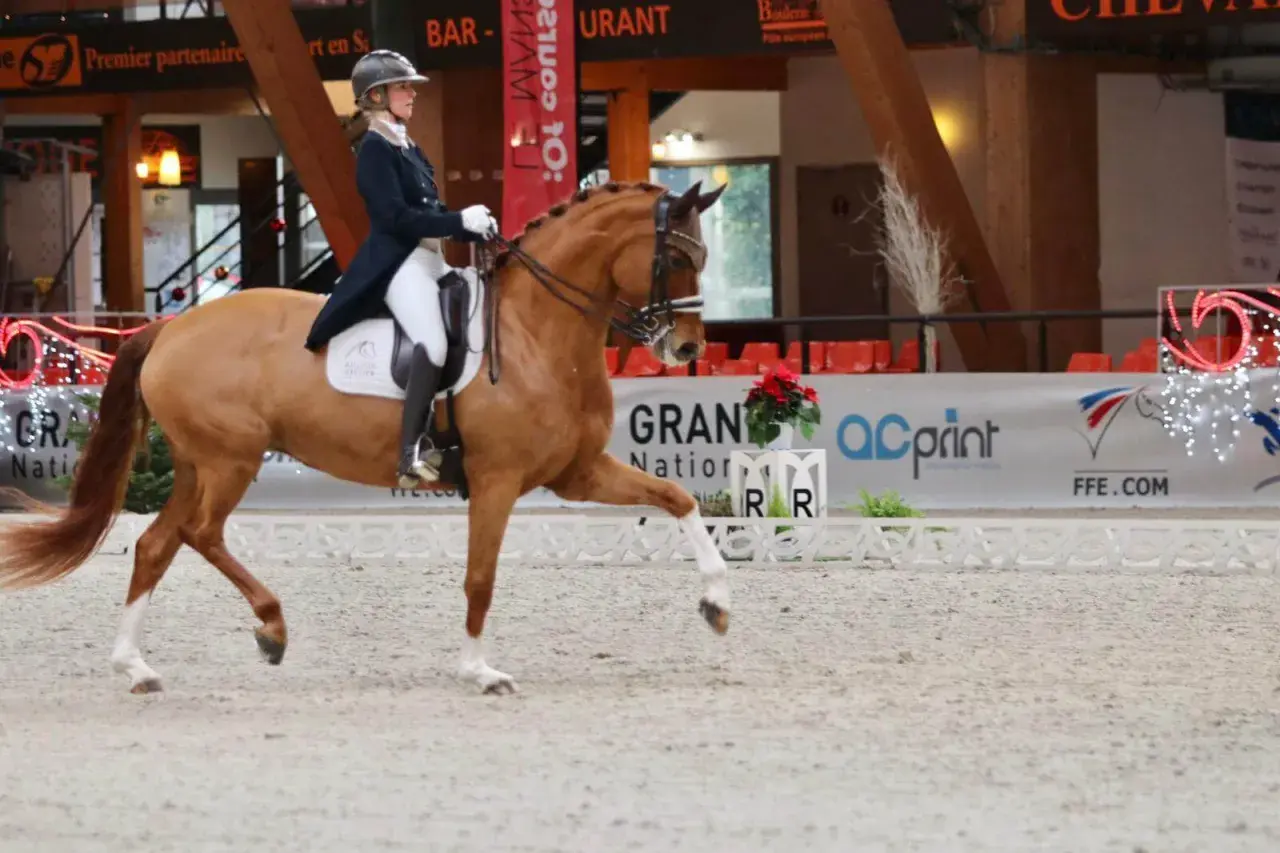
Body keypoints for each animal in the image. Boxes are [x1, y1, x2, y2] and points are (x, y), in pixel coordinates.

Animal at [0, 180, 732, 696]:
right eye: (675, 256)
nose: (688, 347)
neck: (535, 331)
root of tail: (168, 328)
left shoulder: (576, 471)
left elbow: (678, 498)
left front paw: (718, 603)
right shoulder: (496, 481)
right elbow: (480, 578)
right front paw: (480, 671)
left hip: (197, 462)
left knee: (158, 543)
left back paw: (137, 666)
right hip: (230, 459)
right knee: (200, 534)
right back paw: (271, 627)